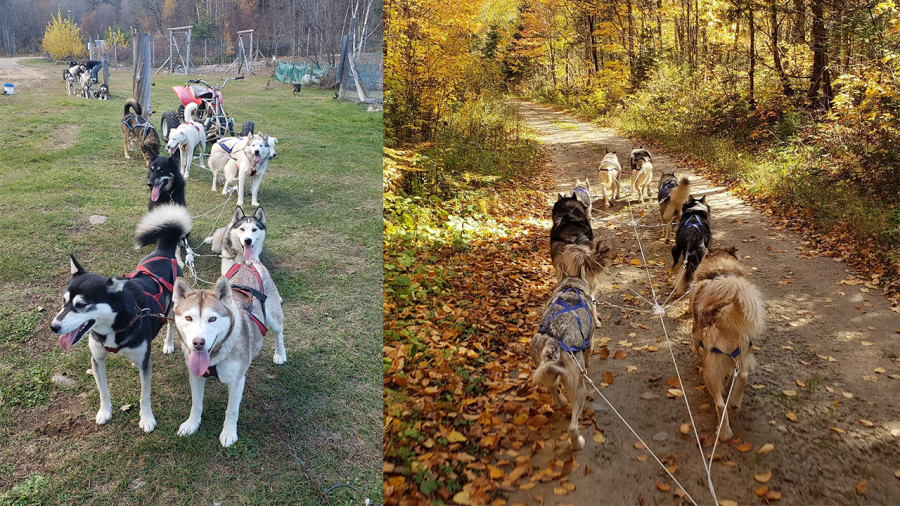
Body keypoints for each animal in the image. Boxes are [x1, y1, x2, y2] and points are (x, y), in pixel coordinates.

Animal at [49, 204, 192, 432]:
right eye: (64, 302)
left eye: (81, 305)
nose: (53, 327)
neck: (114, 327)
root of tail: (163, 252)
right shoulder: (97, 359)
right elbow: (103, 391)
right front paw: (105, 412)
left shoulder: (145, 366)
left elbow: (144, 395)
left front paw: (147, 418)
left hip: (171, 309)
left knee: (169, 326)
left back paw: (168, 344)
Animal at [172, 256, 288, 446]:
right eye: (189, 318)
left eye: (212, 319)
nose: (198, 343)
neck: (215, 356)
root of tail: (248, 261)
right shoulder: (195, 375)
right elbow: (196, 403)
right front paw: (192, 424)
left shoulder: (237, 381)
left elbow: (231, 410)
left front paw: (228, 433)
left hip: (274, 317)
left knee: (279, 333)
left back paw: (280, 354)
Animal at [528, 244, 604, 446]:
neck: (571, 287)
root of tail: (554, 341)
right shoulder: (589, 343)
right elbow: (589, 355)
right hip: (579, 389)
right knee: (572, 426)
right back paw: (578, 443)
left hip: (542, 367)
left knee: (553, 389)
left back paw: (560, 401)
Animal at [688, 247, 768, 440]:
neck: (720, 271)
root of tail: (722, 313)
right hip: (743, 354)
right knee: (743, 376)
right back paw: (734, 402)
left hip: (710, 372)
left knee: (719, 403)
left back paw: (723, 432)